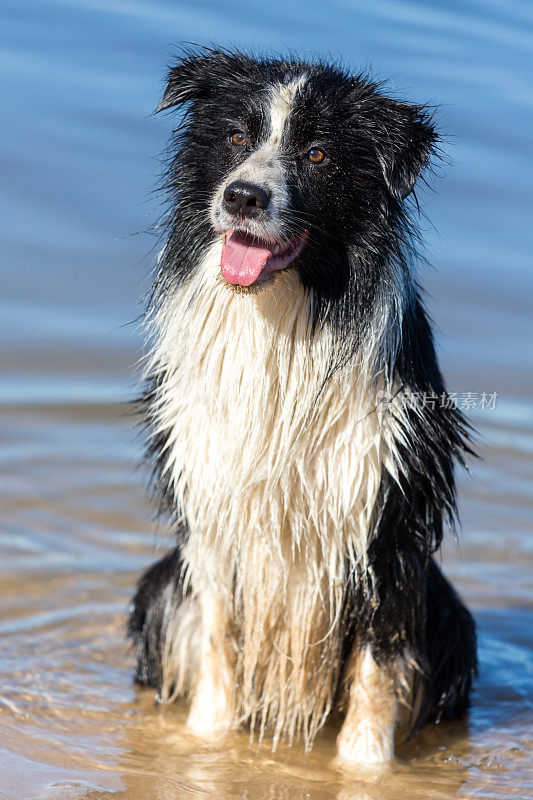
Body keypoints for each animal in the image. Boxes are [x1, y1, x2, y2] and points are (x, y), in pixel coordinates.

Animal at [127, 48, 476, 764]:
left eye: (317, 154)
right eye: (236, 137)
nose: (243, 195)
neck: (281, 314)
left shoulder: (382, 523)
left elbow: (376, 673)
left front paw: (365, 769)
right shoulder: (213, 511)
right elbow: (218, 652)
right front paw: (205, 752)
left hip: (453, 622)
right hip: (158, 587)